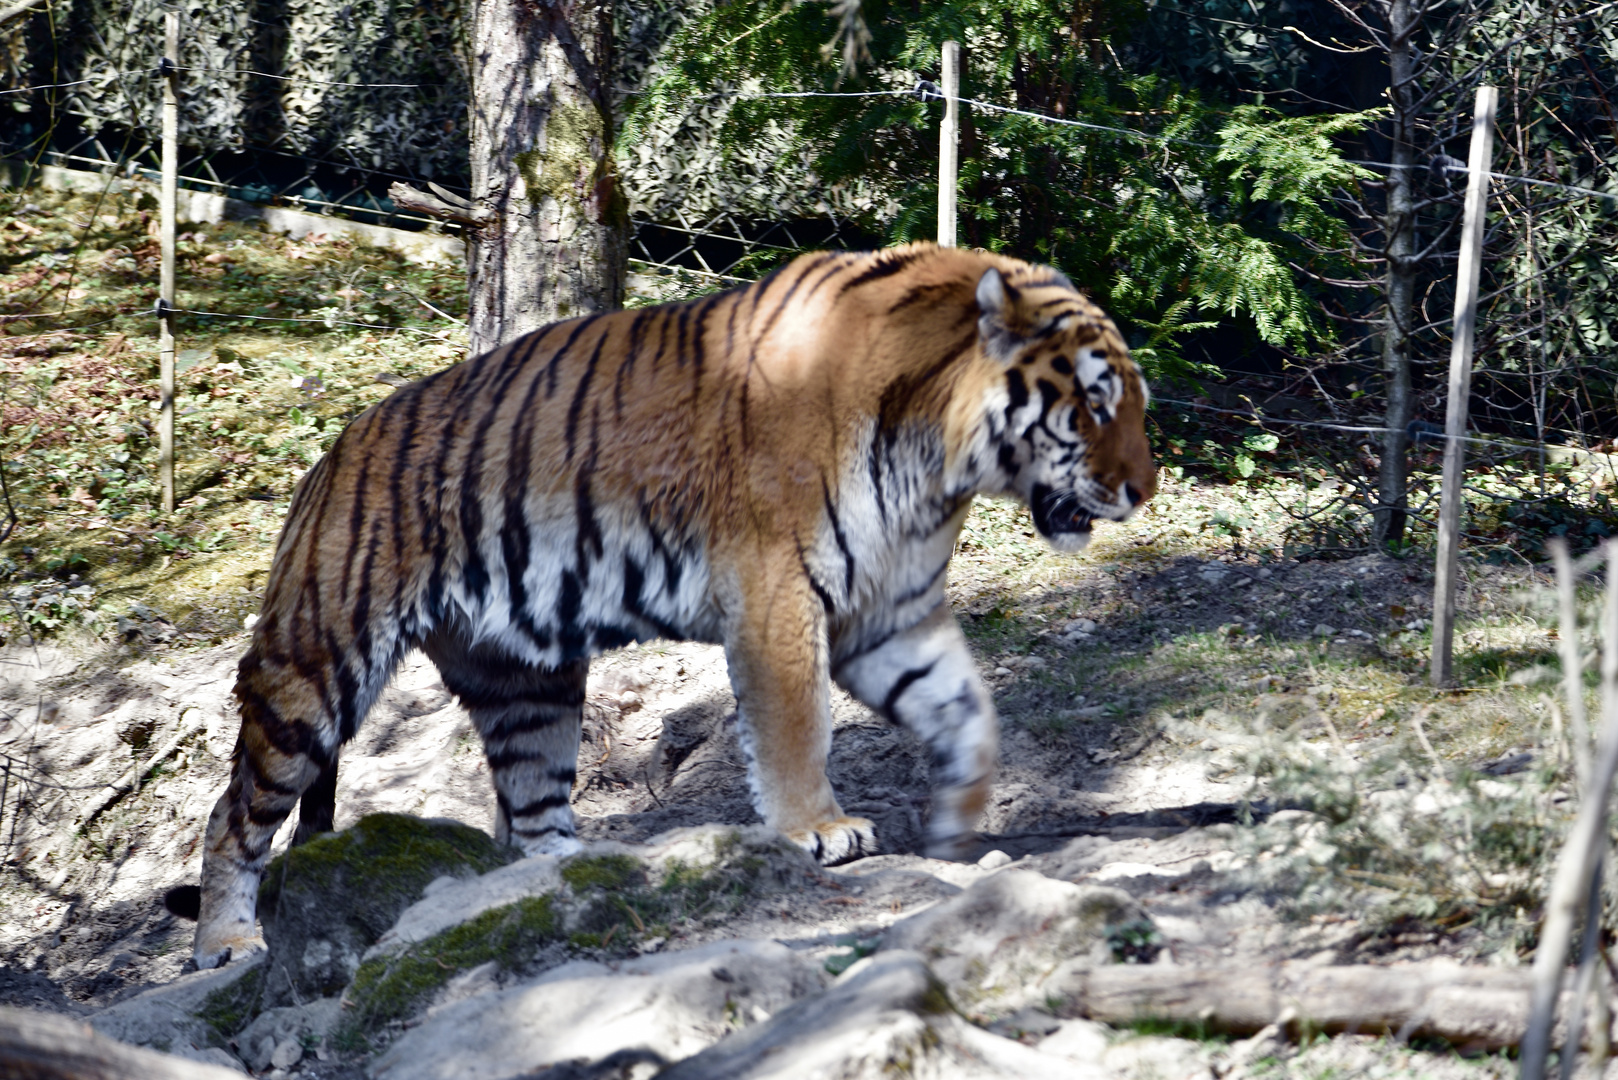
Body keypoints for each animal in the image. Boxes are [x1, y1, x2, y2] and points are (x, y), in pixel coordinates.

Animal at [173, 242, 1152, 971]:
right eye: (1096, 404)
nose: (1144, 489)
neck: (937, 465)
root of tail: (329, 458)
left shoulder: (890, 611)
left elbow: (966, 709)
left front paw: (958, 822)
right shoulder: (777, 592)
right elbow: (796, 726)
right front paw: (821, 829)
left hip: (525, 682)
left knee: (532, 811)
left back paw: (578, 877)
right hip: (315, 664)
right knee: (234, 813)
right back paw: (228, 942)